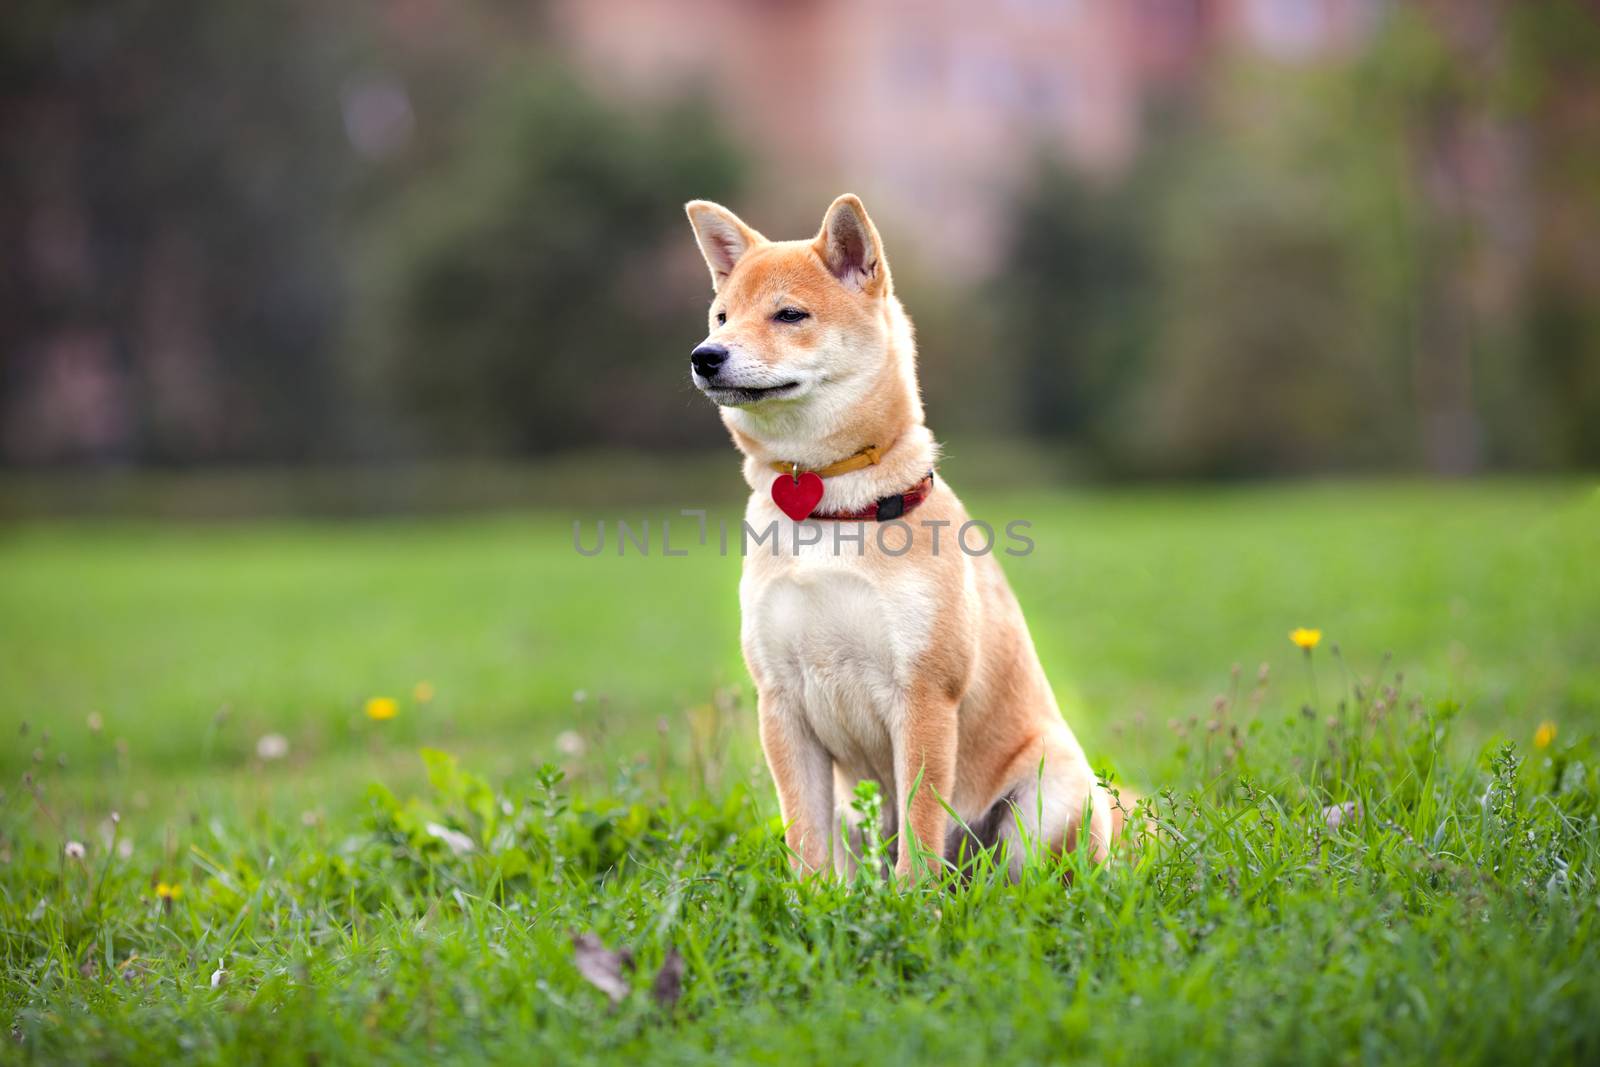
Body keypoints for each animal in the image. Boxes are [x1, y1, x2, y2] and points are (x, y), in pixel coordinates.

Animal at [688, 195, 1126, 883]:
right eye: (722, 316)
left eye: (789, 315)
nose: (705, 354)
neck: (831, 509)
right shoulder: (781, 702)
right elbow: (805, 836)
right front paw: (813, 899)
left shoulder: (924, 694)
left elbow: (920, 827)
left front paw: (912, 899)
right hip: (857, 808)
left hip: (1052, 793)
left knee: (1025, 875)